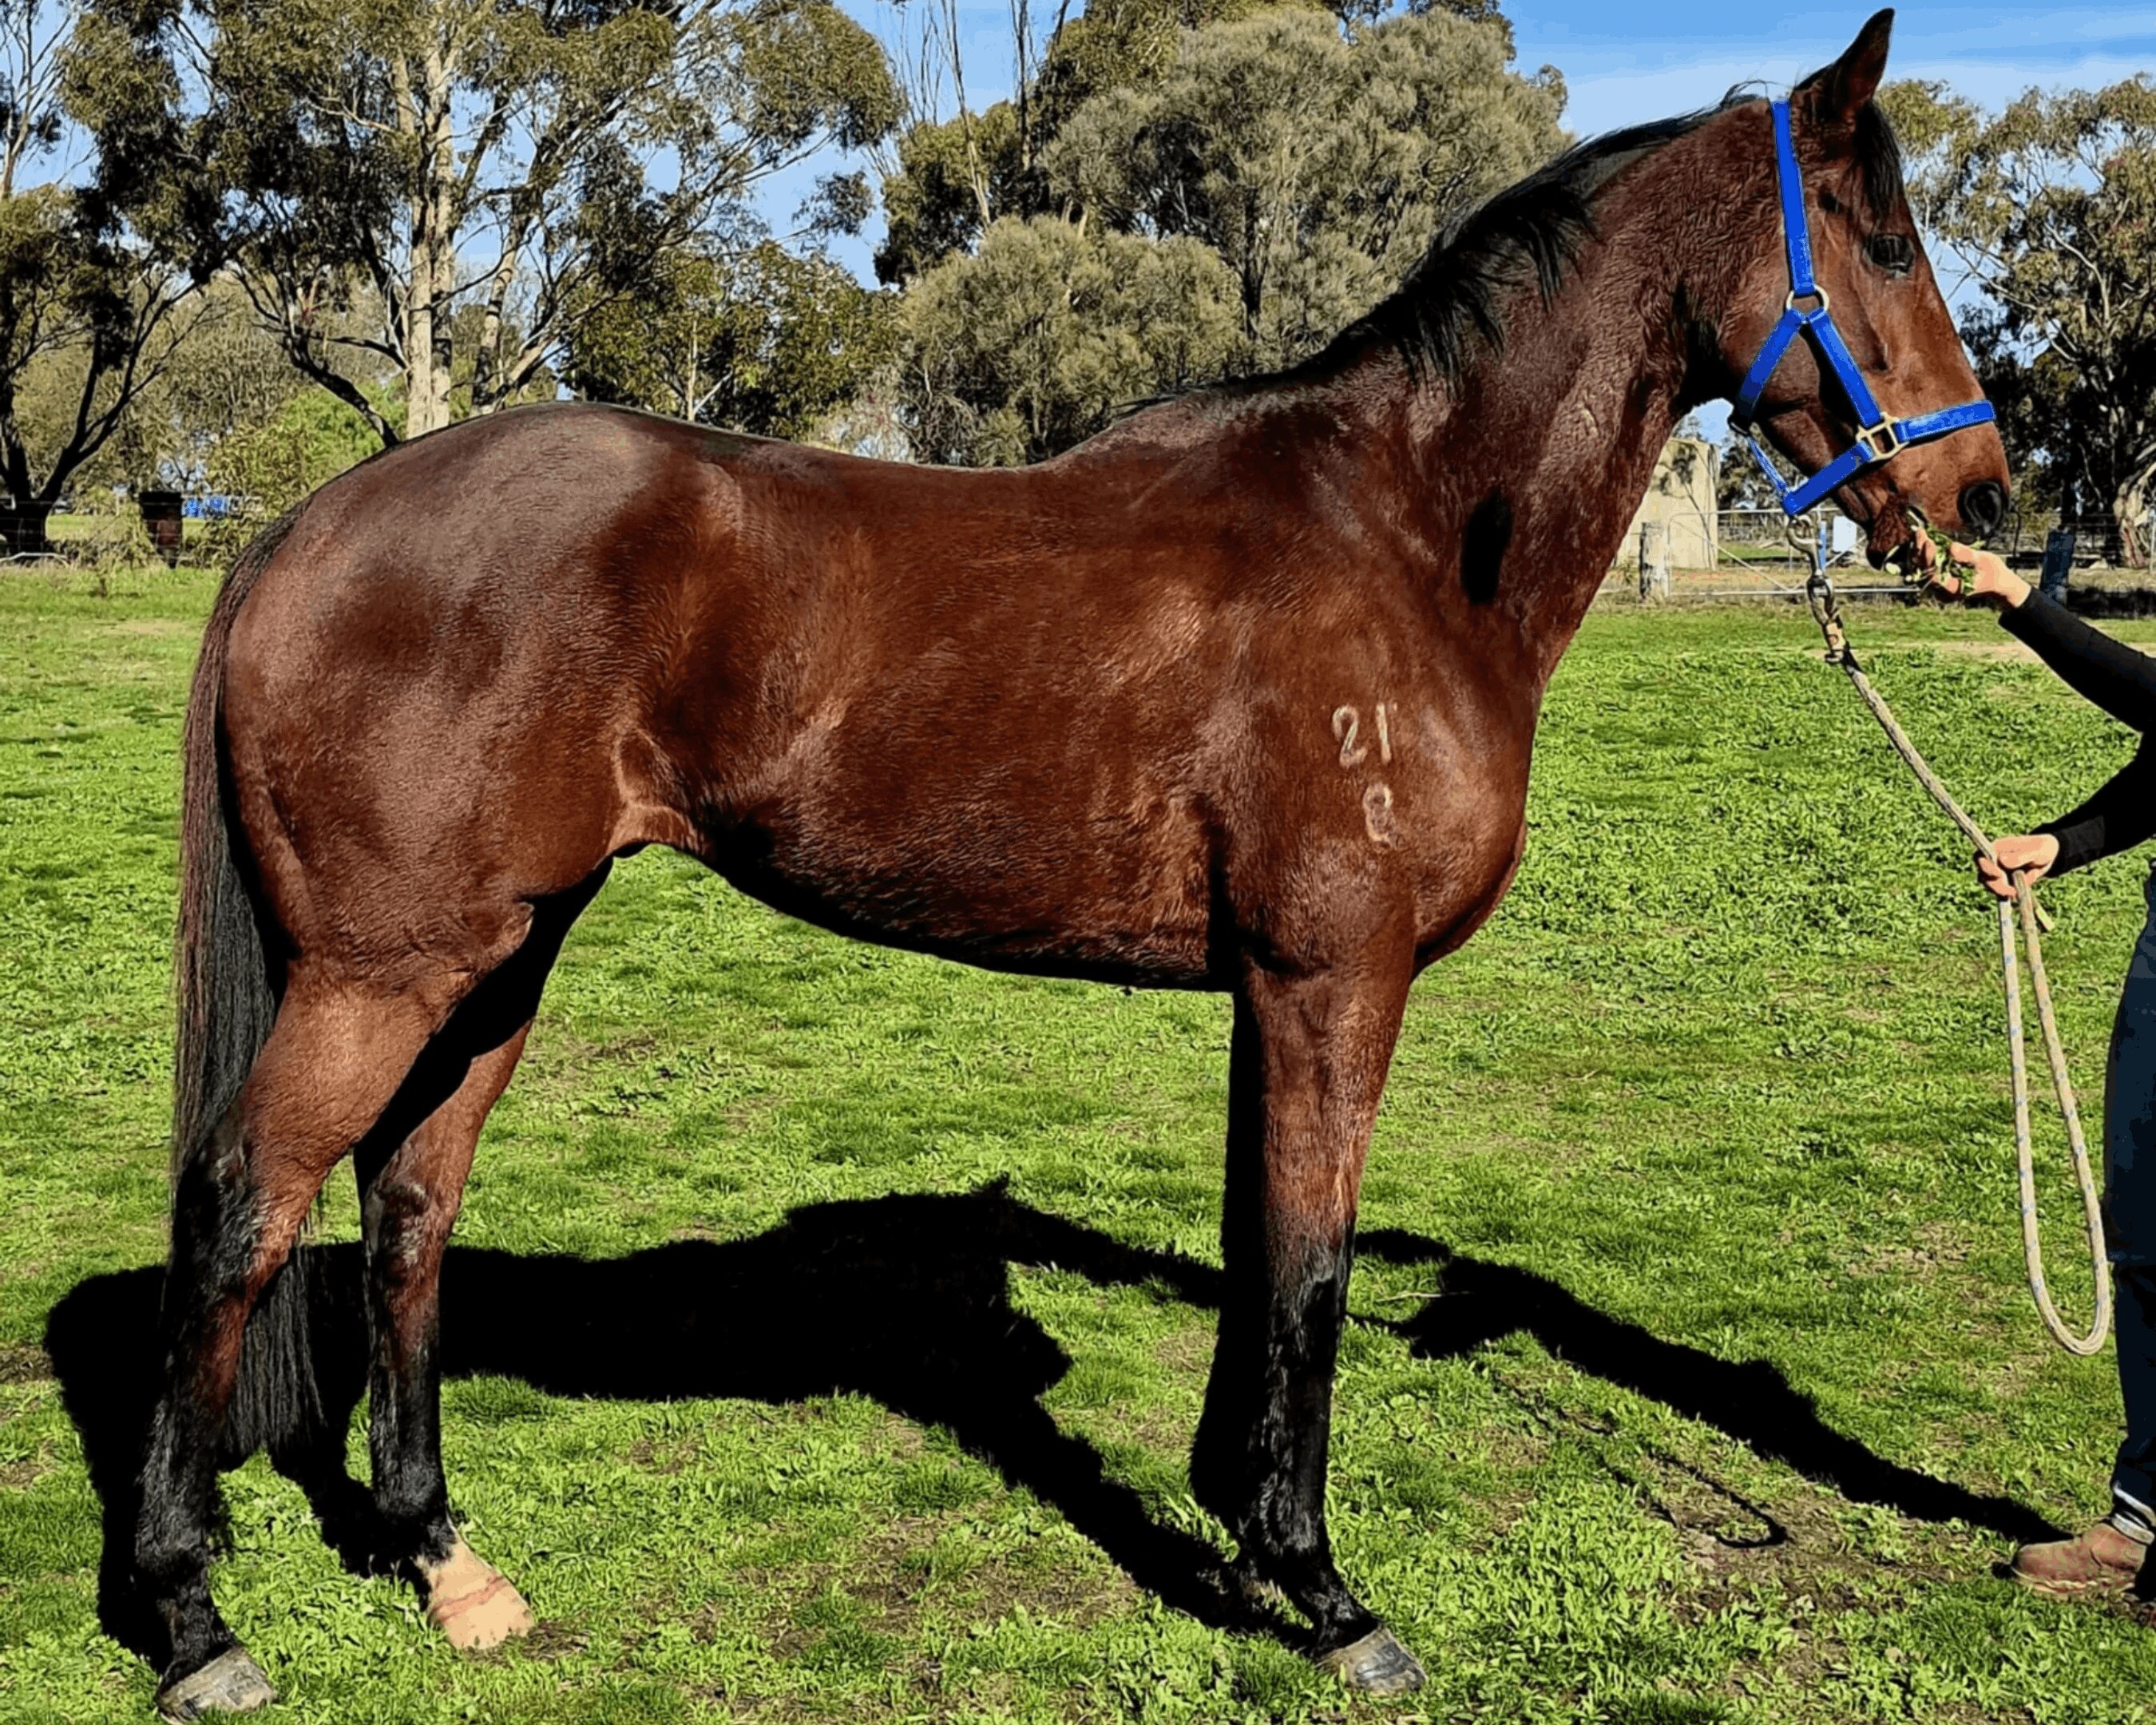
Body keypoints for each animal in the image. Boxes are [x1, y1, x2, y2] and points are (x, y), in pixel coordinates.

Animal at [134, 10, 2009, 1717]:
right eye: (1889, 239)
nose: (1984, 490)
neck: (1403, 535)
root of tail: (306, 524)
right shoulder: (1337, 981)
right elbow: (1315, 1266)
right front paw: (1325, 1593)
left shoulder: (1277, 992)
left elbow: (1264, 1252)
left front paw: (1242, 1537)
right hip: (385, 972)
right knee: (242, 1205)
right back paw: (193, 1619)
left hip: (497, 955)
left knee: (408, 1207)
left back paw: (444, 1560)